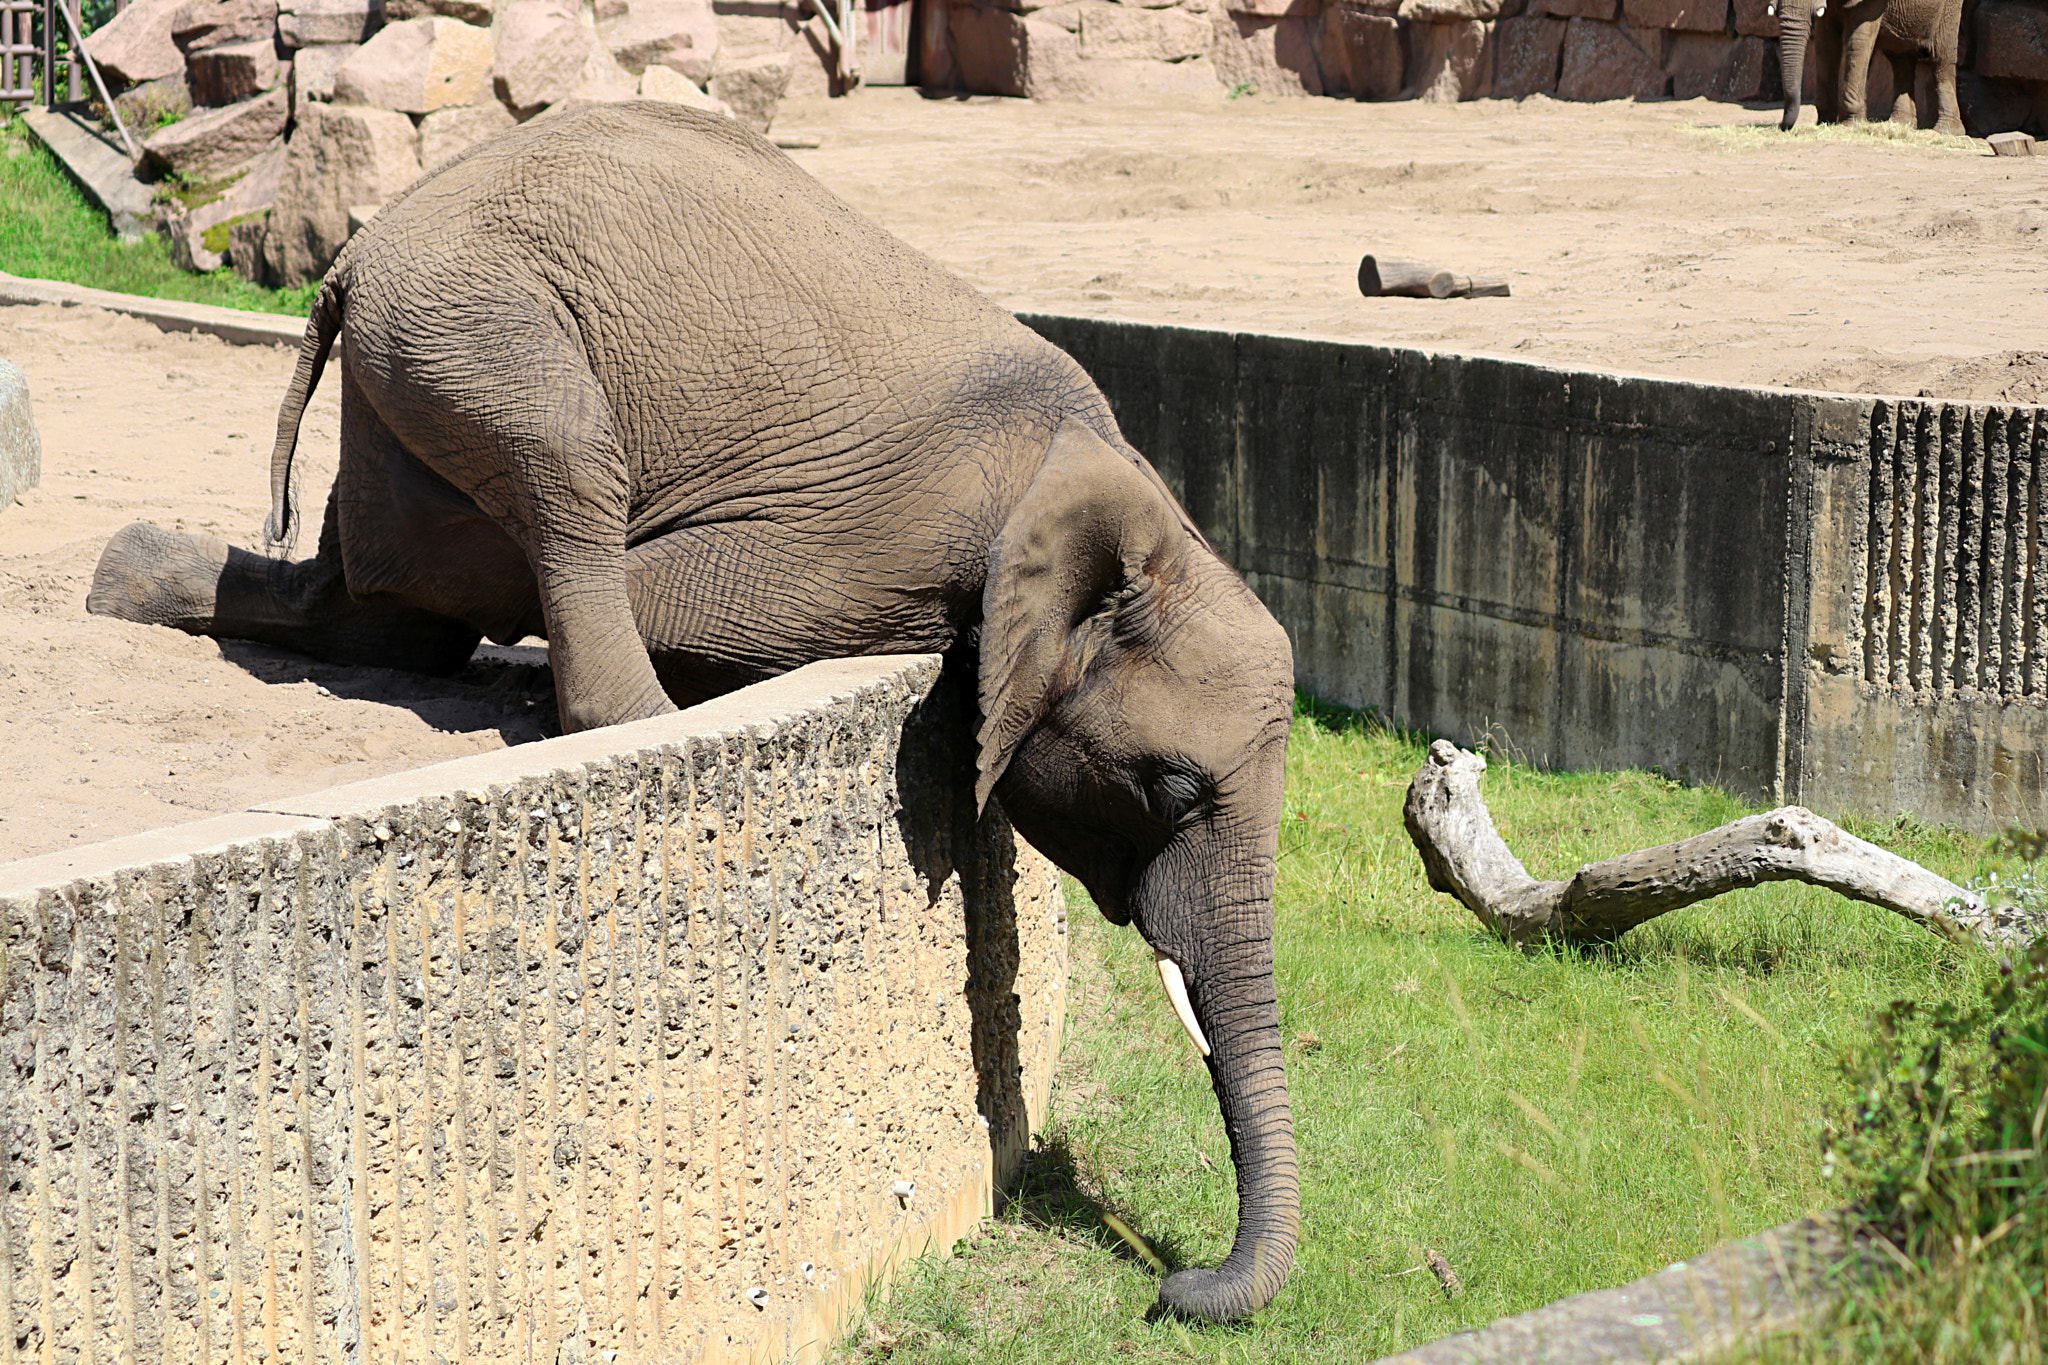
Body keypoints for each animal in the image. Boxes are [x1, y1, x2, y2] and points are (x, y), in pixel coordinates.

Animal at [86, 101, 1299, 1323]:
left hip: (425, 359)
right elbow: (664, 594)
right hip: (484, 328)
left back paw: (119, 584)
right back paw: (618, 711)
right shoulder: (883, 555)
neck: (1121, 503)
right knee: (563, 477)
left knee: (385, 620)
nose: (1175, 1287)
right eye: (1172, 790)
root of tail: (353, 255)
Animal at [1776, 0, 1964, 134]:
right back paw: (1899, 125)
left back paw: (1945, 131)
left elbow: (1858, 40)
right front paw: (1824, 123)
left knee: (1942, 59)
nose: (1781, 126)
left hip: (1949, 9)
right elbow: (1826, 42)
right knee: (1901, 59)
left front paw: (1850, 125)